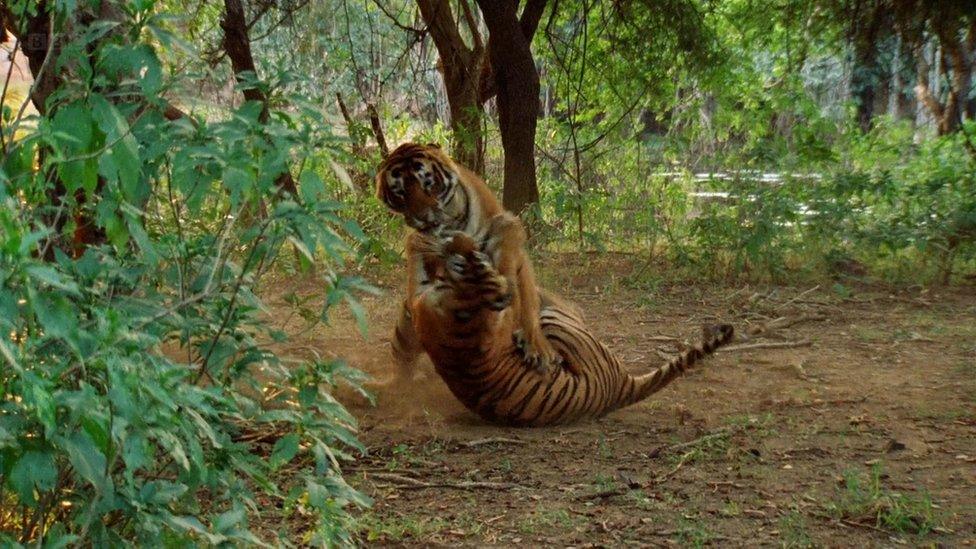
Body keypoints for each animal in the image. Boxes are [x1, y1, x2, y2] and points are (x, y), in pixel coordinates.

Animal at [378, 141, 564, 378]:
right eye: (400, 193)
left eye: (429, 184)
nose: (422, 217)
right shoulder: (419, 252)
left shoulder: (507, 232)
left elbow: (524, 299)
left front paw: (538, 349)